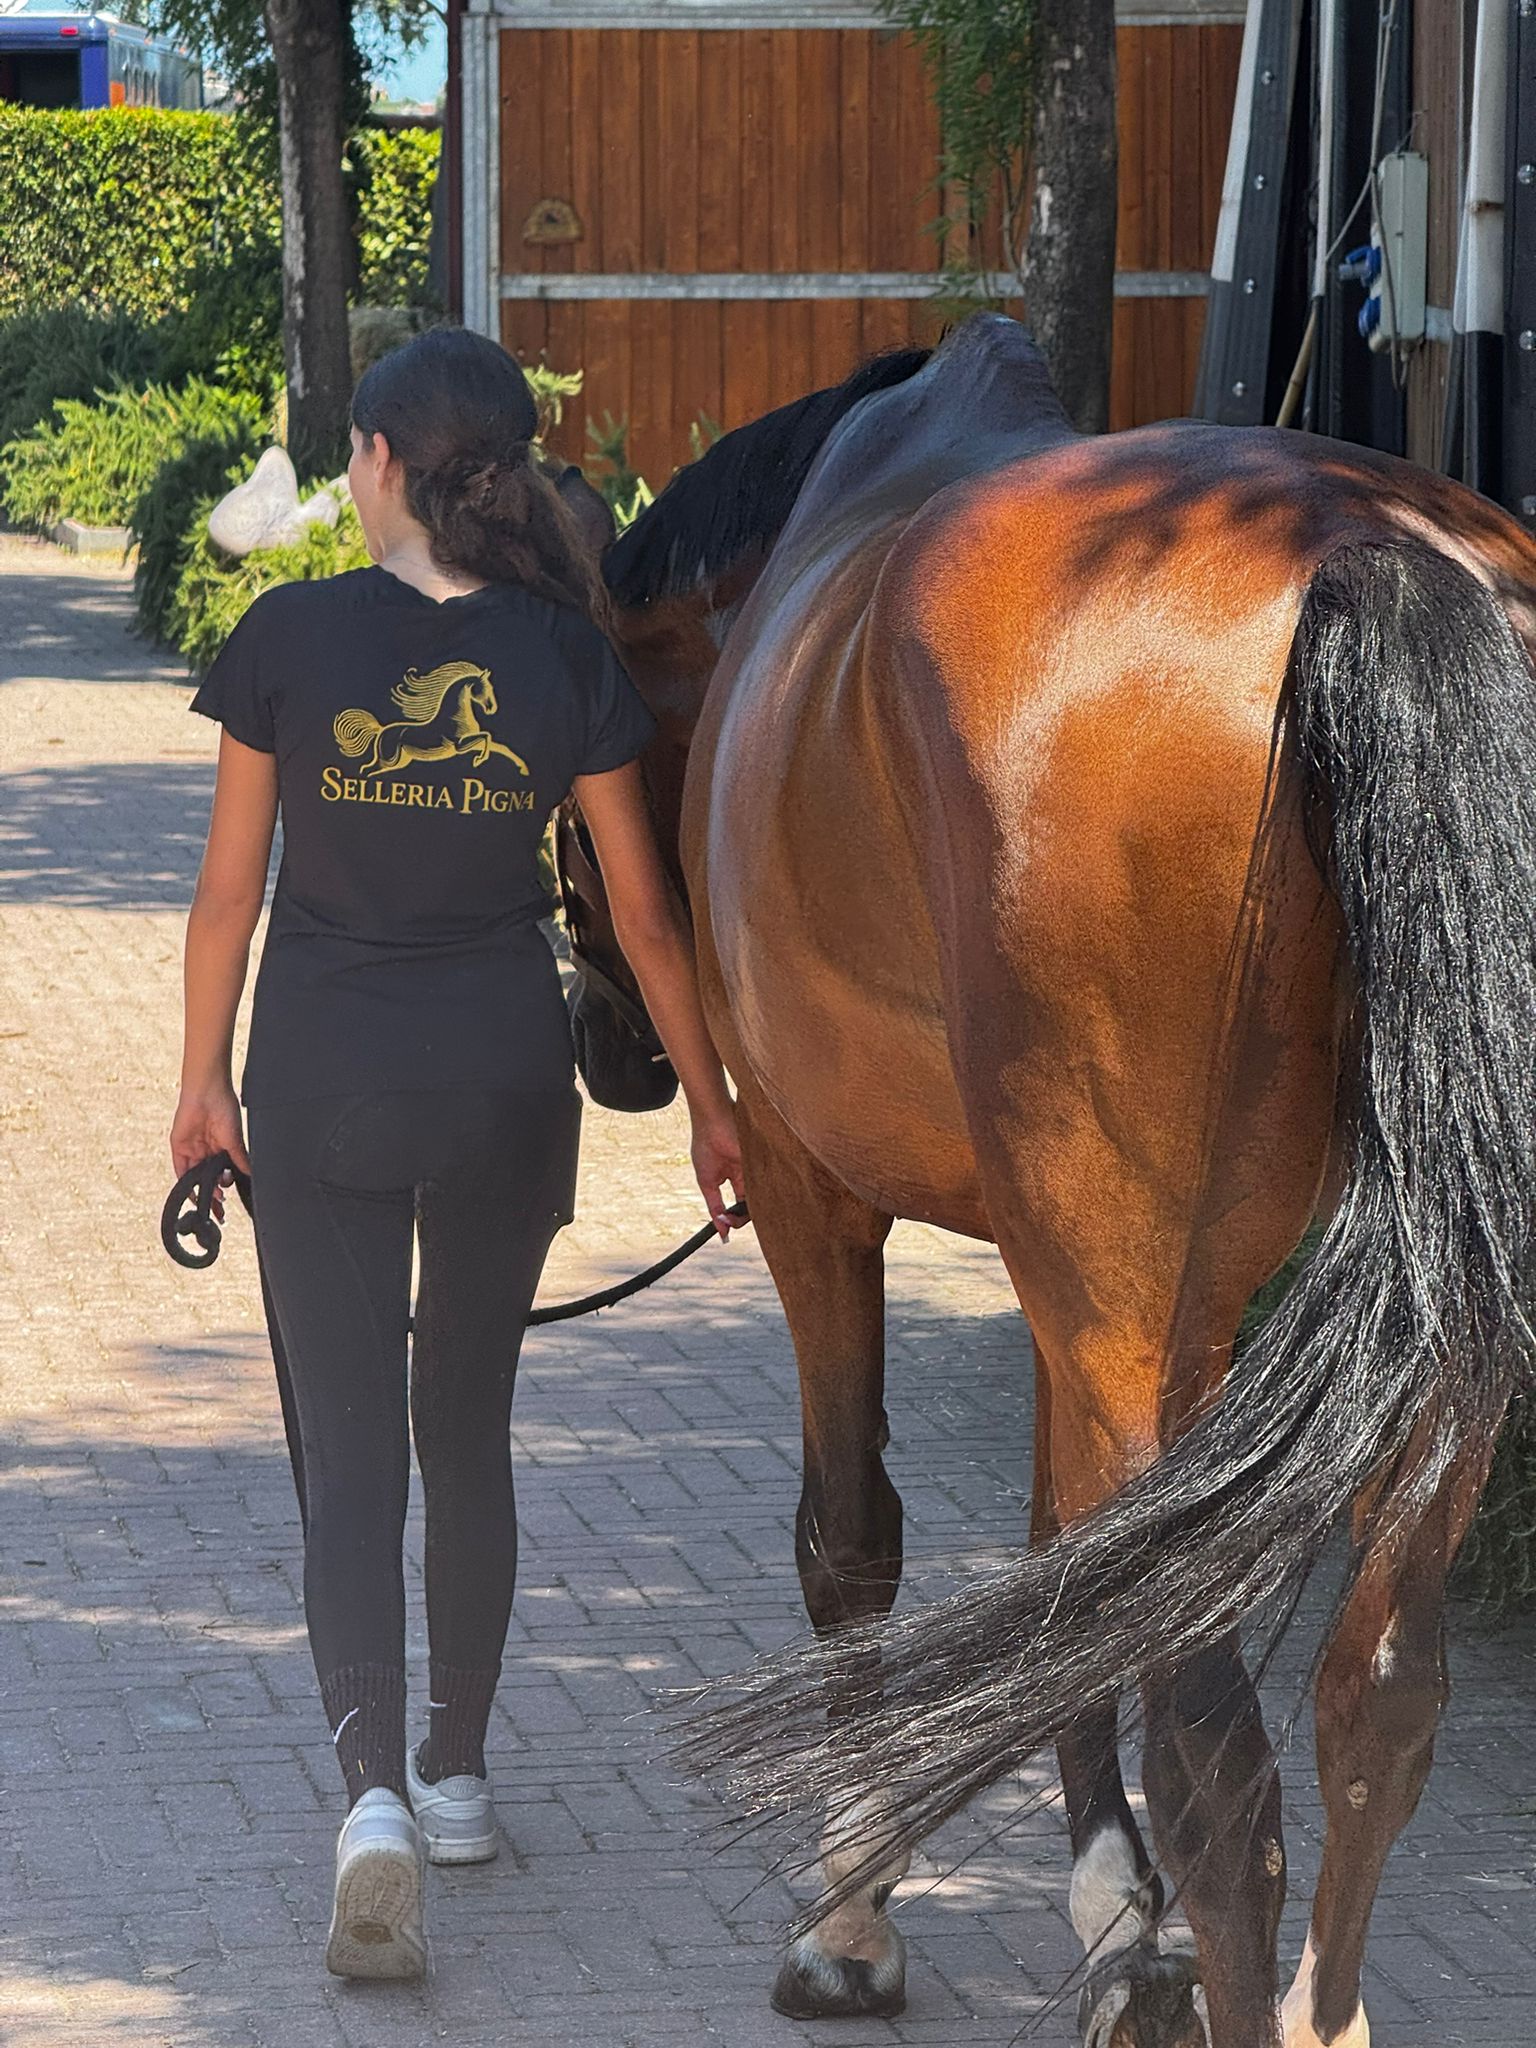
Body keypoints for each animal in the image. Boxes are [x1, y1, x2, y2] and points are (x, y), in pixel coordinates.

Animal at [332, 660, 530, 779]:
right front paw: (479, 760)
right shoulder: (459, 746)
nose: (492, 709)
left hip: (400, 761)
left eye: (492, 687)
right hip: (388, 759)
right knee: (369, 771)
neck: (457, 718)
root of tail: (380, 729)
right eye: (484, 688)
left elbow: (499, 745)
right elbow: (486, 736)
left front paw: (522, 768)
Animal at [566, 314, 1536, 2048]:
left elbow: (853, 1539)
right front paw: (1118, 1920)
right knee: (1376, 1700)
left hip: (1111, 1286)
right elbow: (1066, 1579)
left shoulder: (822, 1201)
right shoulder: (1107, 1293)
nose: (607, 1049)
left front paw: (852, 1921)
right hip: (1423, 1321)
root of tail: (1366, 552)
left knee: (1222, 1756)